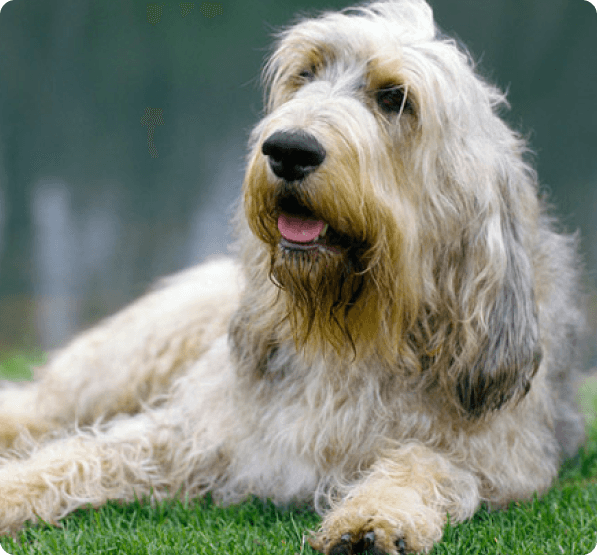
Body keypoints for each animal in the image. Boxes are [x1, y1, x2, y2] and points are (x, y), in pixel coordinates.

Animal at [0, 0, 588, 552]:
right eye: (306, 73)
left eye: (395, 97)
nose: (288, 148)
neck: (354, 331)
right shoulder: (192, 431)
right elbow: (78, 453)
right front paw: (12, 491)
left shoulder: (499, 461)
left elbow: (428, 462)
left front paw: (374, 517)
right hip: (130, 358)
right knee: (40, 406)